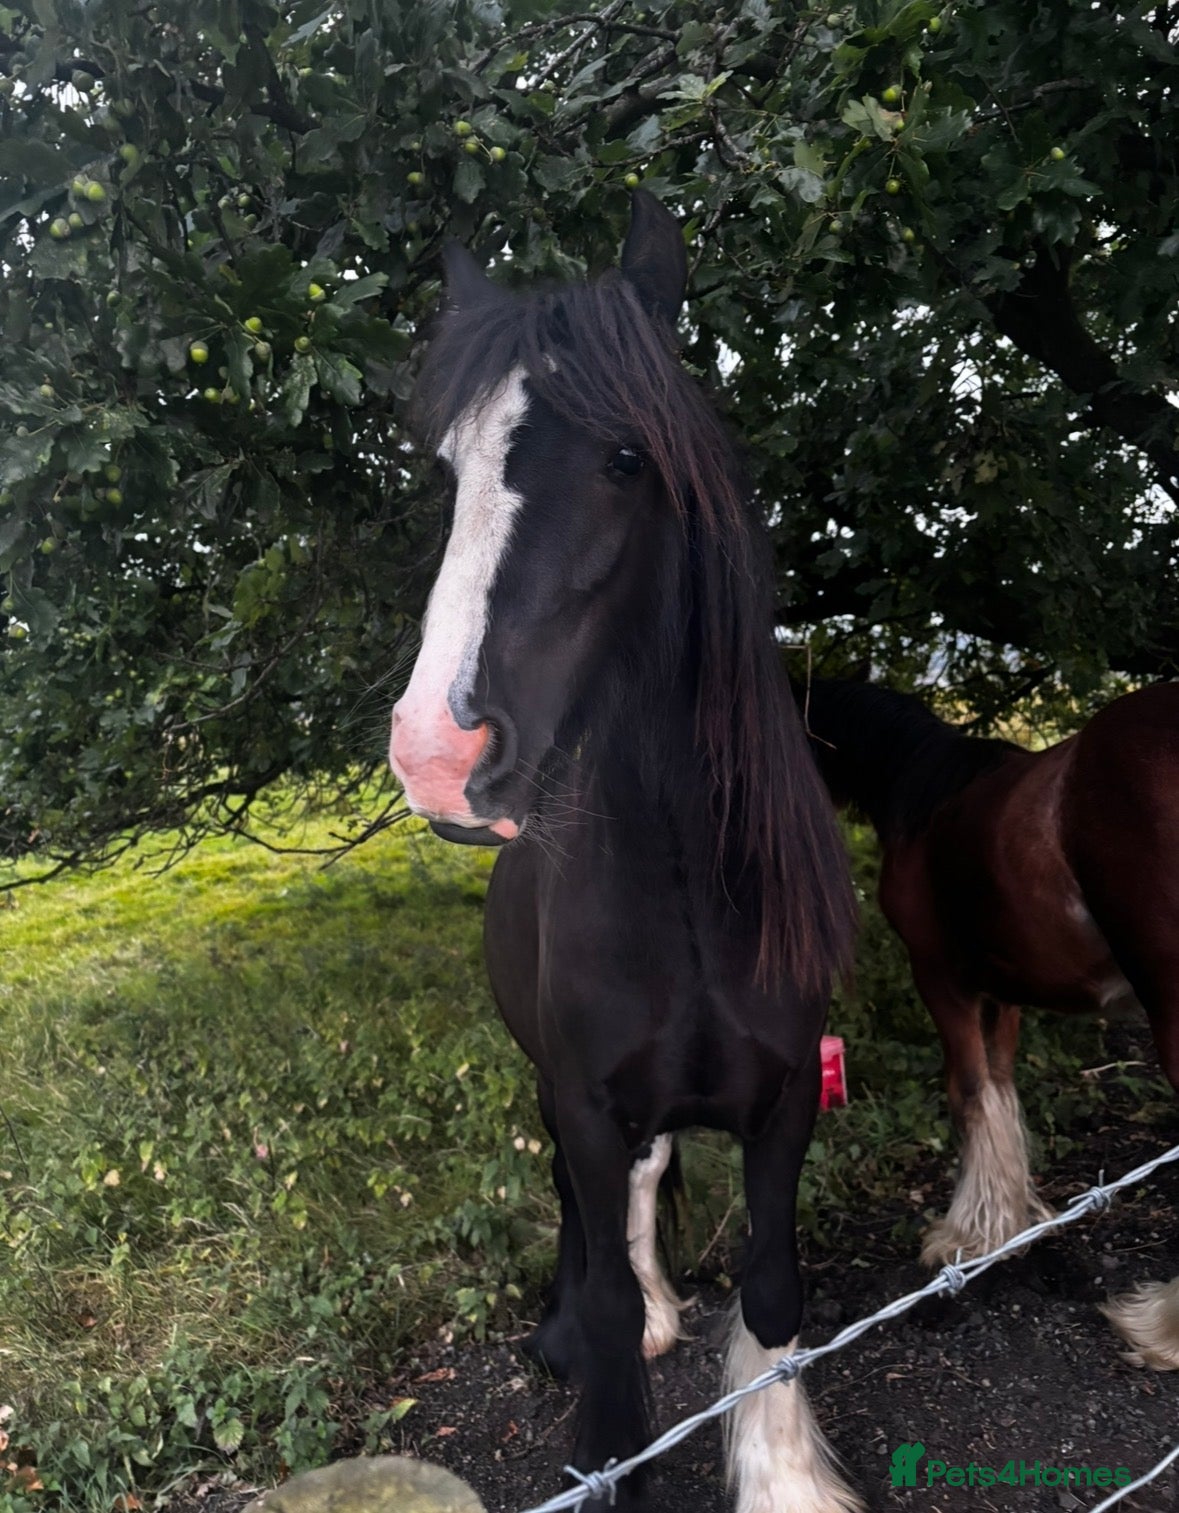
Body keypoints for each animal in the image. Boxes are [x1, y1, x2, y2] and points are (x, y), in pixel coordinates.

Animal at [388, 192, 861, 1513]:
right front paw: (606, 1423)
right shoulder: (588, 1101)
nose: (435, 754)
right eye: (451, 472)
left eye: (623, 460)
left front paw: (783, 1474)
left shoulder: (784, 1100)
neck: (693, 885)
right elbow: (600, 1292)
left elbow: (772, 1294)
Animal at [800, 676, 1179, 1371]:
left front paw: (963, 1237)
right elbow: (1000, 1090)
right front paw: (1008, 1225)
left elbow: (969, 1092)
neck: (922, 788)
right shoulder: (1003, 991)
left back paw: (1159, 1329)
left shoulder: (940, 978)